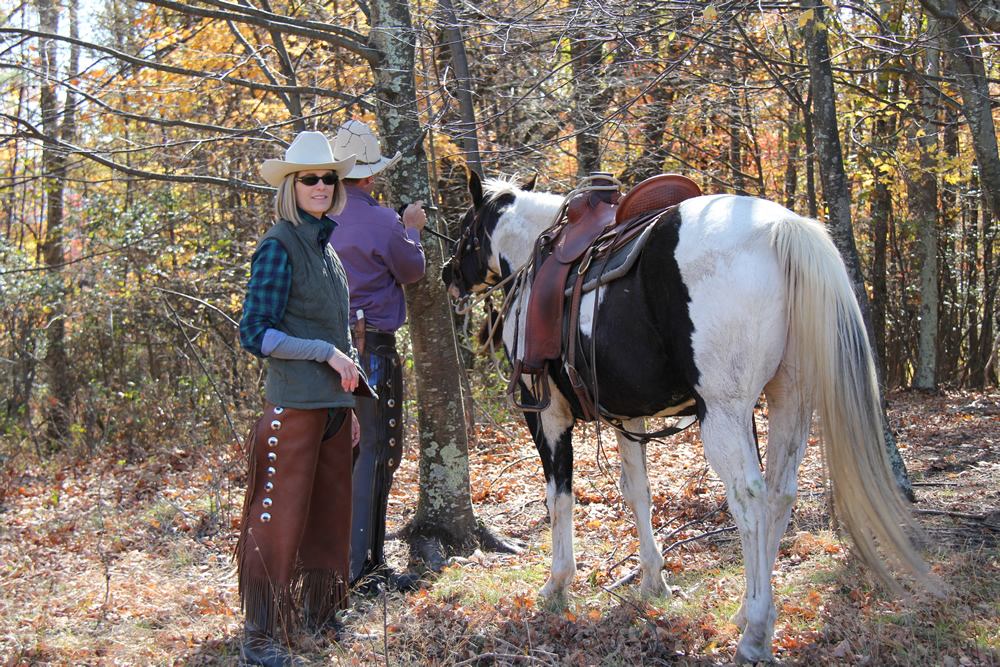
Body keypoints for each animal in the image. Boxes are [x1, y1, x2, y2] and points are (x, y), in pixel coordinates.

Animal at [441, 171, 934, 663]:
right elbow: (638, 492)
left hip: (724, 413)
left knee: (750, 498)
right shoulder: (628, 415)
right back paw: (747, 609)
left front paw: (556, 584)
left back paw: (756, 632)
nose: (447, 275)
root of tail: (784, 227)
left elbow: (559, 498)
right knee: (781, 494)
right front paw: (653, 580)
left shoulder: (546, 415)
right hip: (789, 399)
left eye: (466, 229)